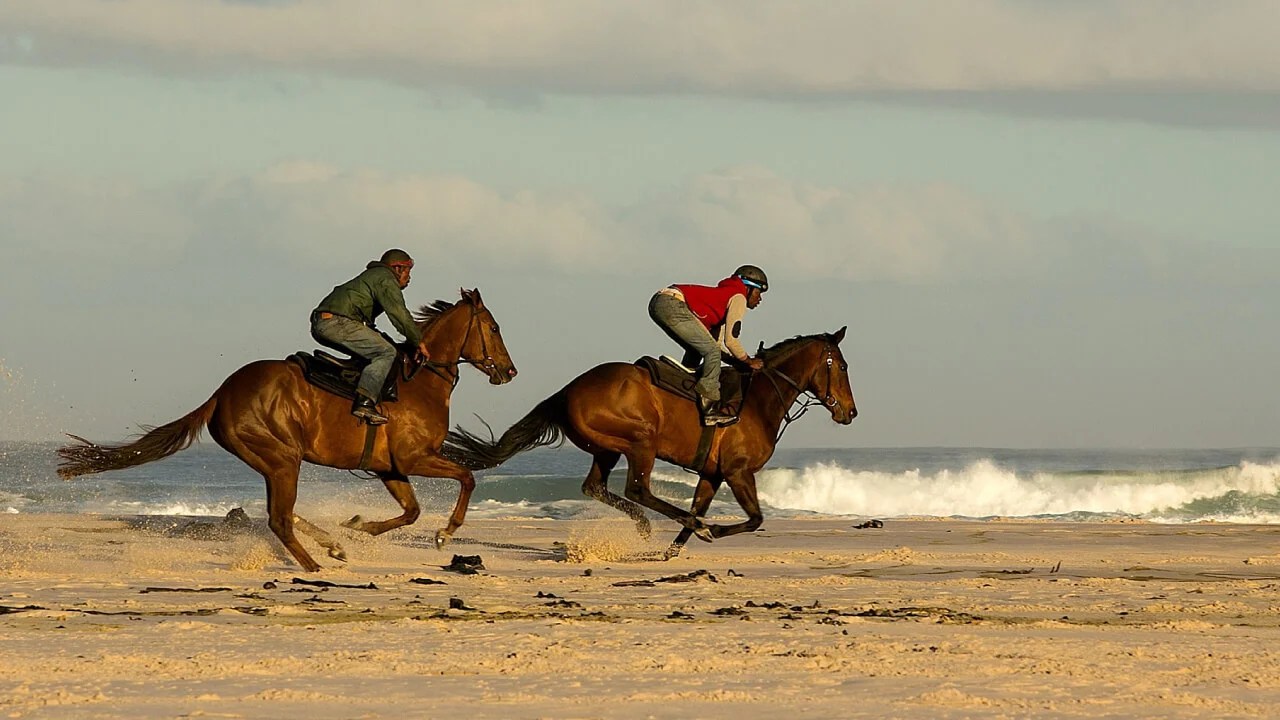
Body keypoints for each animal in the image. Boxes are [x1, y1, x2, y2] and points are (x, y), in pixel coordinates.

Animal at [58, 288, 517, 572]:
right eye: (494, 327)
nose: (509, 371)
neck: (418, 381)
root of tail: (222, 393)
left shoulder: (391, 467)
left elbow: (411, 511)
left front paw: (358, 527)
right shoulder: (415, 458)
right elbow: (466, 478)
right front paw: (445, 533)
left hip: (273, 461)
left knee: (280, 513)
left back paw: (330, 543)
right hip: (283, 459)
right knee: (279, 519)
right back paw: (314, 564)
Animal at [442, 327, 855, 558]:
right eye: (842, 366)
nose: (850, 412)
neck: (758, 400)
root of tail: (568, 390)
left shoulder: (713, 473)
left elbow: (704, 505)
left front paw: (676, 547)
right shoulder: (739, 472)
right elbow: (754, 518)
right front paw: (710, 530)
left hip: (606, 448)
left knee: (595, 486)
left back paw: (650, 525)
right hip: (641, 440)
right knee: (638, 488)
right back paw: (655, 524)